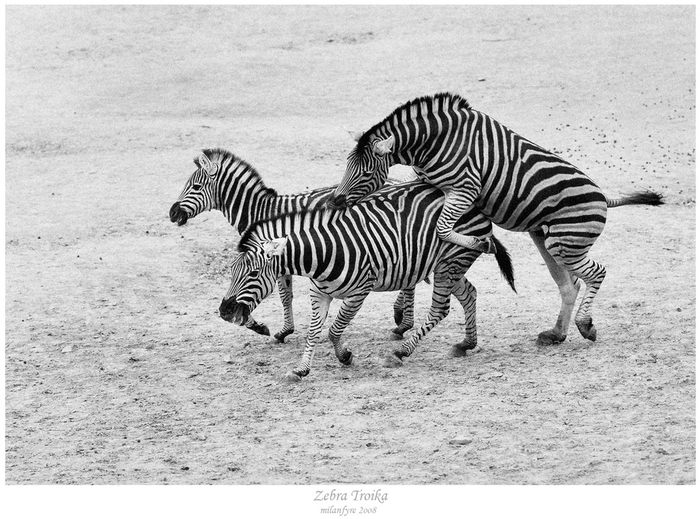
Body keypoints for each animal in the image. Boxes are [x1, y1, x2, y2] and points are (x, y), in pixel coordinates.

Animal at [219, 180, 516, 381]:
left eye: (253, 274)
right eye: (231, 271)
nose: (224, 311)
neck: (322, 251)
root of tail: (477, 209)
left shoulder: (360, 291)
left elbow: (334, 329)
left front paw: (344, 356)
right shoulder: (319, 294)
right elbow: (314, 332)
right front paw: (302, 369)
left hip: (449, 262)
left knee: (440, 309)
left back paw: (402, 352)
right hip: (448, 265)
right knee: (469, 294)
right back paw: (466, 344)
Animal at [328, 92, 663, 347]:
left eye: (366, 172)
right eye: (346, 166)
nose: (334, 201)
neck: (435, 140)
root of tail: (604, 197)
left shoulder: (464, 188)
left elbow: (442, 229)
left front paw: (478, 242)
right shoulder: (427, 184)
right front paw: (401, 312)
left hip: (565, 243)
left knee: (596, 274)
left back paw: (585, 325)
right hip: (547, 240)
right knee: (570, 285)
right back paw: (556, 334)